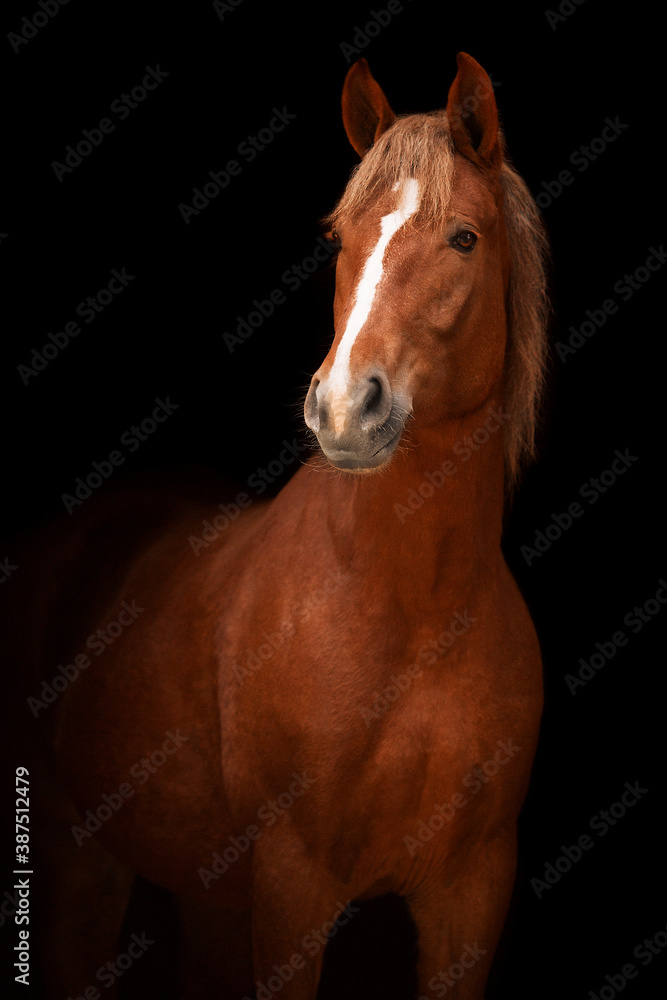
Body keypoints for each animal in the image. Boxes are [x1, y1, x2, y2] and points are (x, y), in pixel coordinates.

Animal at [5, 52, 549, 999]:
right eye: (337, 239)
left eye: (464, 239)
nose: (343, 408)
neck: (414, 614)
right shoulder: (294, 887)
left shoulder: (470, 895)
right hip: (79, 863)